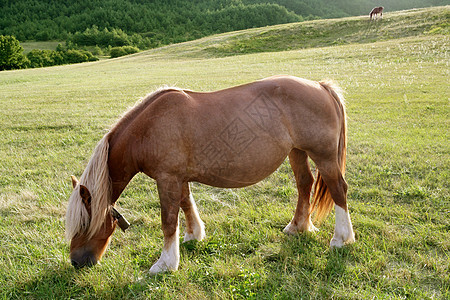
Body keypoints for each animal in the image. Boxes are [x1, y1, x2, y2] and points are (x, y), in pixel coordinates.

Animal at [66, 75, 356, 274]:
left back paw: (341, 239)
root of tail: (321, 86)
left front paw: (165, 263)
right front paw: (193, 235)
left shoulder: (167, 178)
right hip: (297, 152)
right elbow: (186, 204)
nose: (77, 262)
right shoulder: (178, 178)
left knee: (338, 189)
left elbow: (168, 220)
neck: (148, 129)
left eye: (83, 223)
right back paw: (297, 227)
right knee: (305, 184)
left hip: (323, 155)